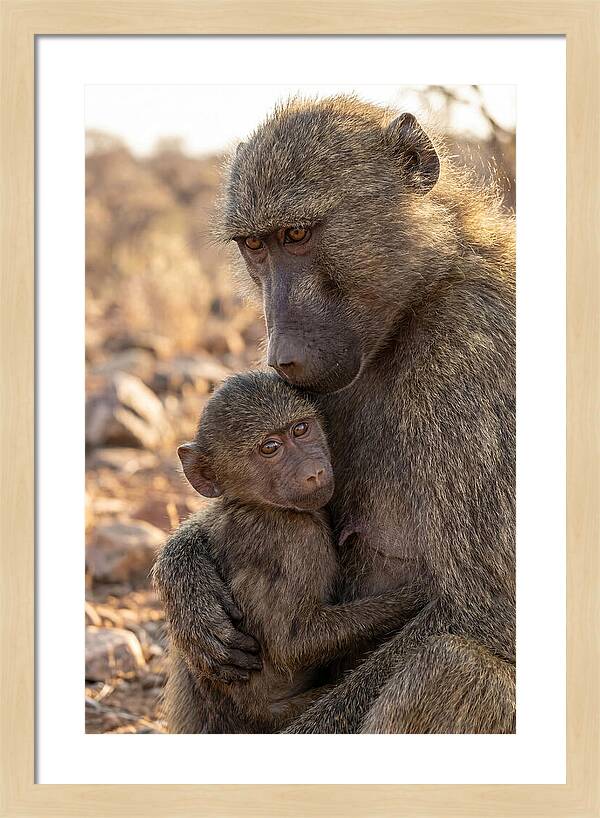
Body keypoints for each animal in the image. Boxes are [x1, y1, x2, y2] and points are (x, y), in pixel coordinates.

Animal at [153, 370, 425, 733]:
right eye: (270, 448)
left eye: (300, 429)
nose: (314, 471)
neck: (257, 505)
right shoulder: (297, 539)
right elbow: (293, 644)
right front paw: (418, 595)